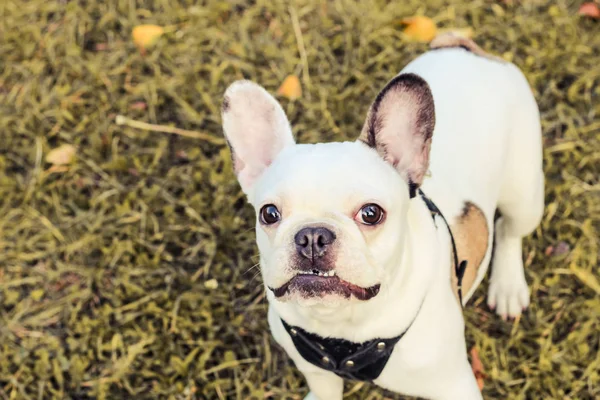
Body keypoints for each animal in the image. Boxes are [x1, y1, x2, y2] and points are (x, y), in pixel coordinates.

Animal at [219, 35, 544, 400]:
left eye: (371, 213)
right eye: (269, 213)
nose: (312, 235)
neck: (343, 327)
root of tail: (465, 47)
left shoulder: (454, 385)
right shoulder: (316, 371)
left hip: (525, 194)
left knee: (509, 229)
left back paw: (508, 286)